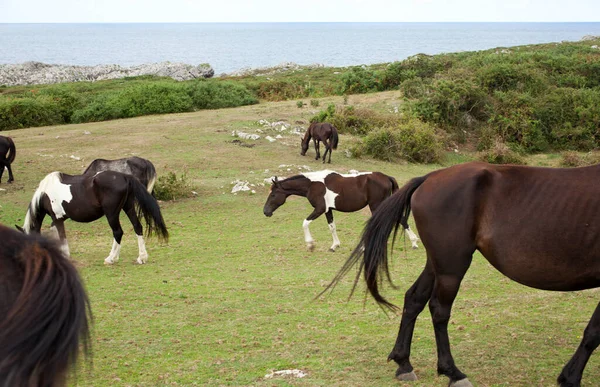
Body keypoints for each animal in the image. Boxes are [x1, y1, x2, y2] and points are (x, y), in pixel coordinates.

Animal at [19, 171, 169, 266]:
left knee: (118, 232)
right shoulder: (57, 219)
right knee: (138, 227)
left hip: (112, 214)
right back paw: (141, 257)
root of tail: (124, 176)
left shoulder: (58, 218)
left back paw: (111, 259)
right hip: (128, 208)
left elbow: (62, 236)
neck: (45, 193)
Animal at [262, 170, 418, 252]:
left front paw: (310, 244)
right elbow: (332, 227)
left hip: (377, 205)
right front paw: (334, 245)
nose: (265, 211)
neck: (312, 185)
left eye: (273, 194)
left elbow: (305, 223)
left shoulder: (319, 209)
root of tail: (386, 177)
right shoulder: (327, 210)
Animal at [324, 162, 600, 387]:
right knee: (439, 310)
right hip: (451, 267)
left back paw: (404, 363)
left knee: (414, 299)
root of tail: (429, 177)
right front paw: (570, 378)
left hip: (436, 264)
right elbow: (593, 333)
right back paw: (452, 372)